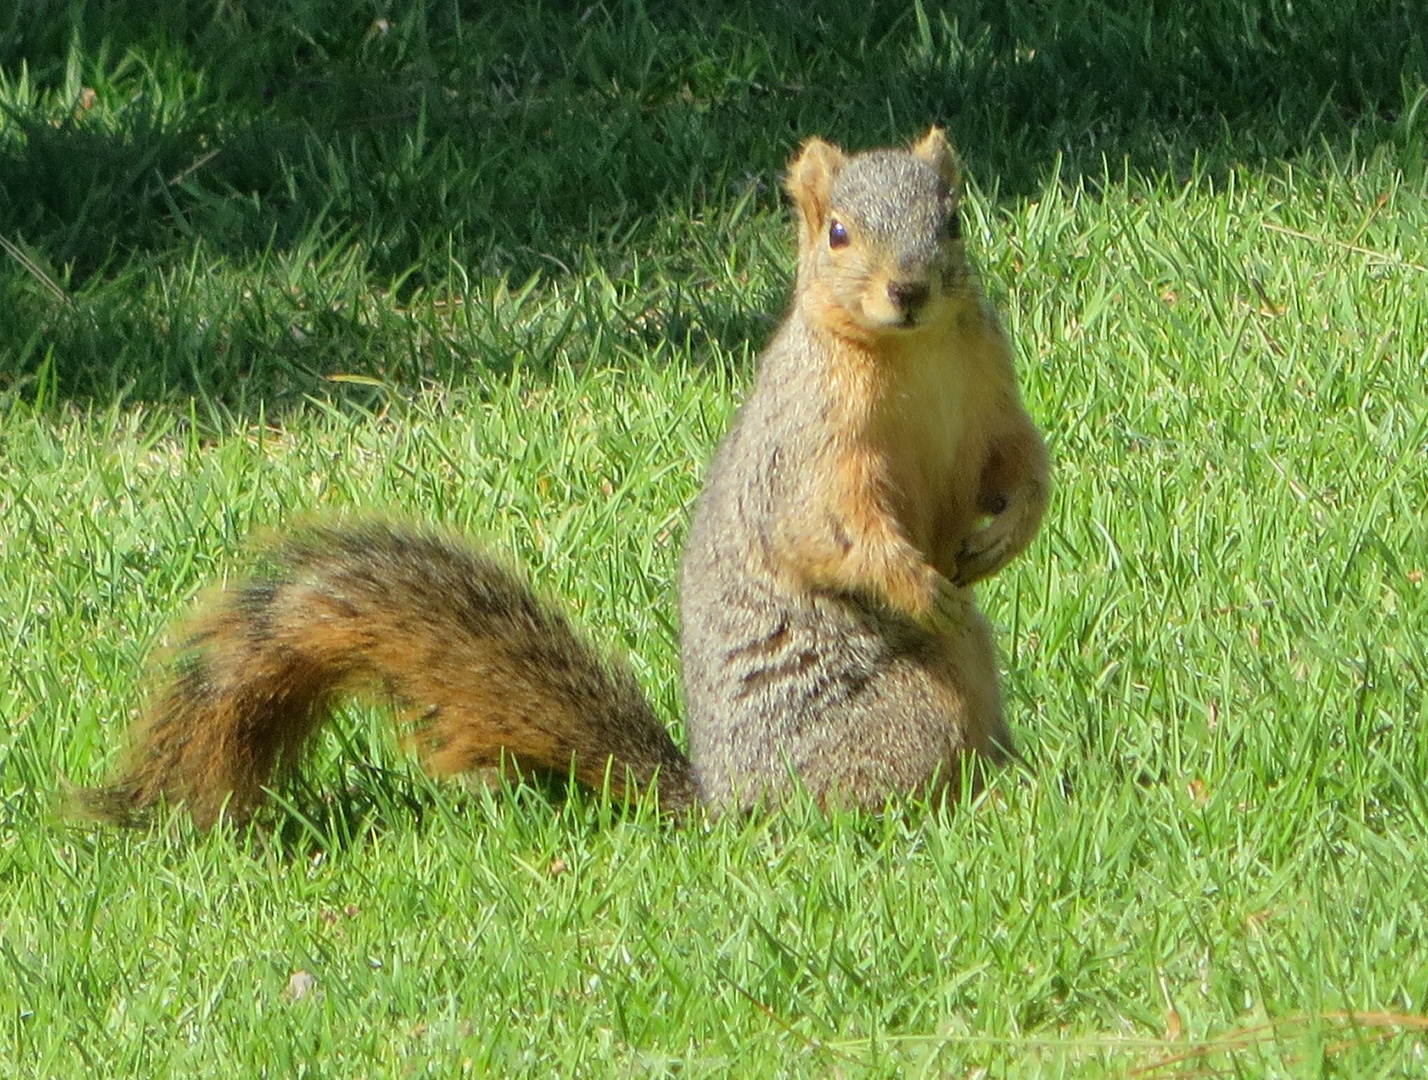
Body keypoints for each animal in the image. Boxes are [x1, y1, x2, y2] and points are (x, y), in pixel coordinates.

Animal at [69, 128, 1051, 828]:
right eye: (839, 232)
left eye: (953, 221)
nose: (909, 291)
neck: (910, 354)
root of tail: (727, 806)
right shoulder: (811, 447)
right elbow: (829, 529)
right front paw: (922, 585)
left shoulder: (989, 391)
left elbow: (1021, 465)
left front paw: (1002, 536)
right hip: (900, 711)